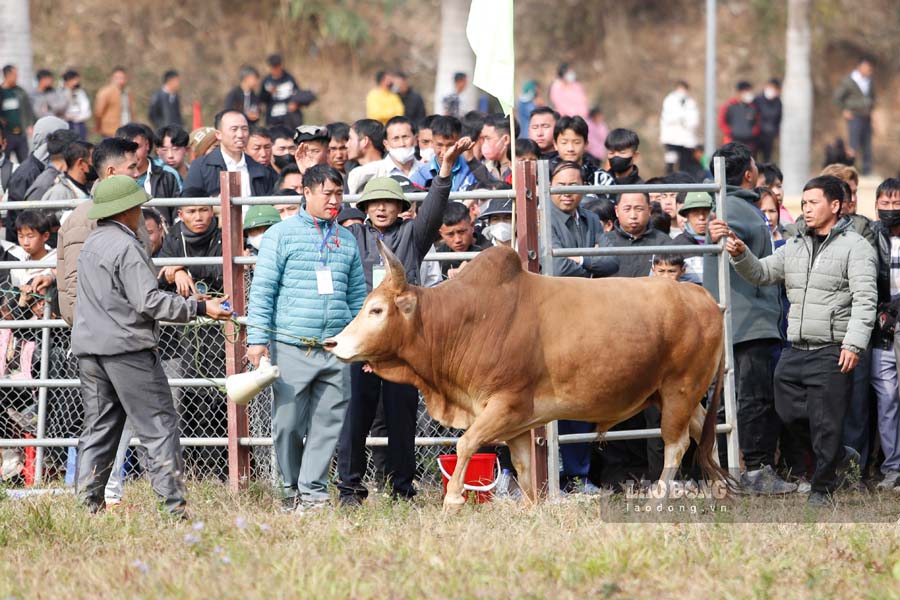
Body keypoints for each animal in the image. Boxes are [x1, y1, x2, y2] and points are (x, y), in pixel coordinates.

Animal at [326, 239, 732, 506]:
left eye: (377, 310)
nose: (333, 343)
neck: (463, 320)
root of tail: (706, 300)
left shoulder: (505, 406)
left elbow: (466, 443)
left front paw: (454, 499)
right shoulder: (518, 424)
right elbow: (521, 468)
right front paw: (531, 508)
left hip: (679, 390)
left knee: (676, 445)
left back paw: (658, 499)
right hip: (673, 395)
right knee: (703, 435)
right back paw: (722, 492)